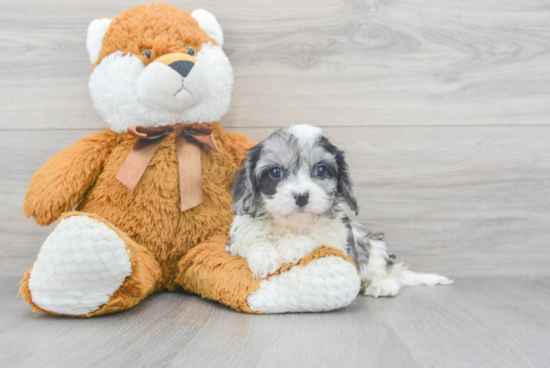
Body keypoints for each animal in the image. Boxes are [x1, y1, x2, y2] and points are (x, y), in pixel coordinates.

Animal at [227, 125, 452, 298]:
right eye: (275, 172)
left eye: (321, 171)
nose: (301, 196)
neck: (293, 226)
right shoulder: (237, 237)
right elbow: (252, 238)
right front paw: (264, 257)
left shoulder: (339, 238)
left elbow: (318, 237)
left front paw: (293, 245)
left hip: (372, 245)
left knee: (389, 270)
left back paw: (383, 285)